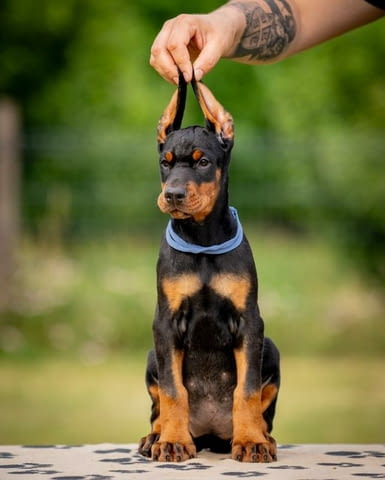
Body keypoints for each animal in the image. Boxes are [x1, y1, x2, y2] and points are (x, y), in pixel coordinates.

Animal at [138, 77, 280, 464]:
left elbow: (247, 390)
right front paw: (172, 442)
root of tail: (211, 435)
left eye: (202, 162)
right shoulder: (165, 322)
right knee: (157, 407)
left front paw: (251, 442)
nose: (172, 195)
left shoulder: (250, 321)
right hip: (151, 355)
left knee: (263, 412)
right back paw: (154, 438)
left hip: (271, 348)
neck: (201, 240)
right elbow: (173, 391)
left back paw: (262, 437)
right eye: (165, 162)